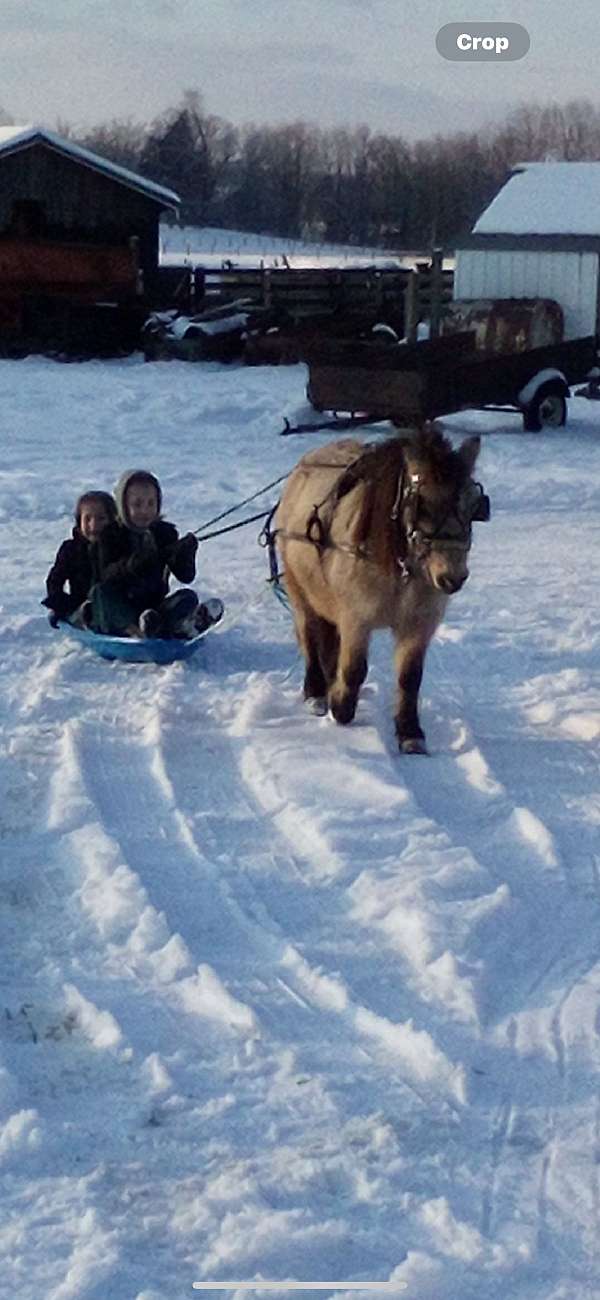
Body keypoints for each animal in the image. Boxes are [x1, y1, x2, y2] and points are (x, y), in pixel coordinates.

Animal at [275, 426, 488, 754]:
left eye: (472, 504)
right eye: (421, 504)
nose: (453, 577)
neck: (402, 567)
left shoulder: (419, 624)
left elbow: (409, 677)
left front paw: (410, 733)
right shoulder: (356, 618)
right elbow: (354, 669)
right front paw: (341, 707)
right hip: (300, 590)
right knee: (309, 636)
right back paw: (317, 693)